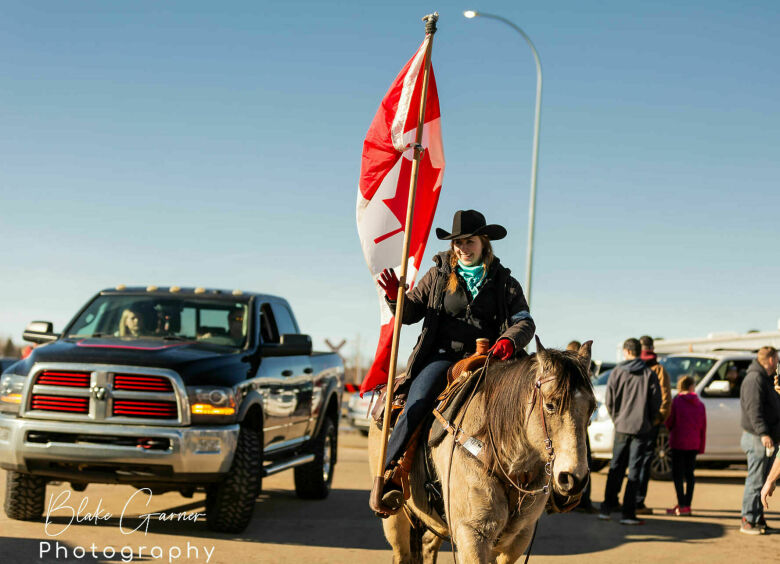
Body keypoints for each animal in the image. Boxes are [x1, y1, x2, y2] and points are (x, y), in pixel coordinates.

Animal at [368, 338, 596, 560]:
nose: (574, 479)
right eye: (550, 405)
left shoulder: (519, 537)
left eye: (592, 408)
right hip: (396, 520)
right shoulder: (472, 533)